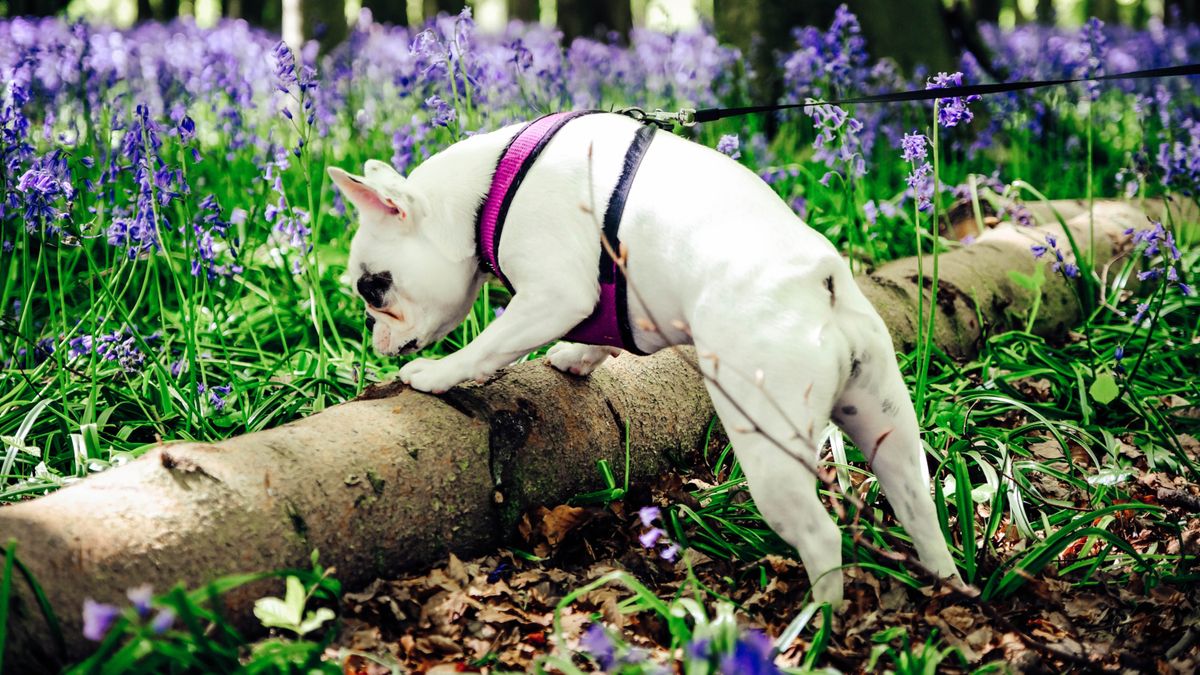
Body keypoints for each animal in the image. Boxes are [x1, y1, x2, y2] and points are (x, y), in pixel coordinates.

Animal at [326, 112, 955, 600]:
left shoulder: (553, 294)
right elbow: (604, 333)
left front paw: (438, 375)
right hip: (885, 422)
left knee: (822, 539)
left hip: (769, 445)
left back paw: (813, 626)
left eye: (374, 289)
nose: (373, 335)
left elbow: (491, 343)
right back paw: (947, 583)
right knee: (918, 504)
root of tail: (819, 282)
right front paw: (578, 356)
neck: (489, 187)